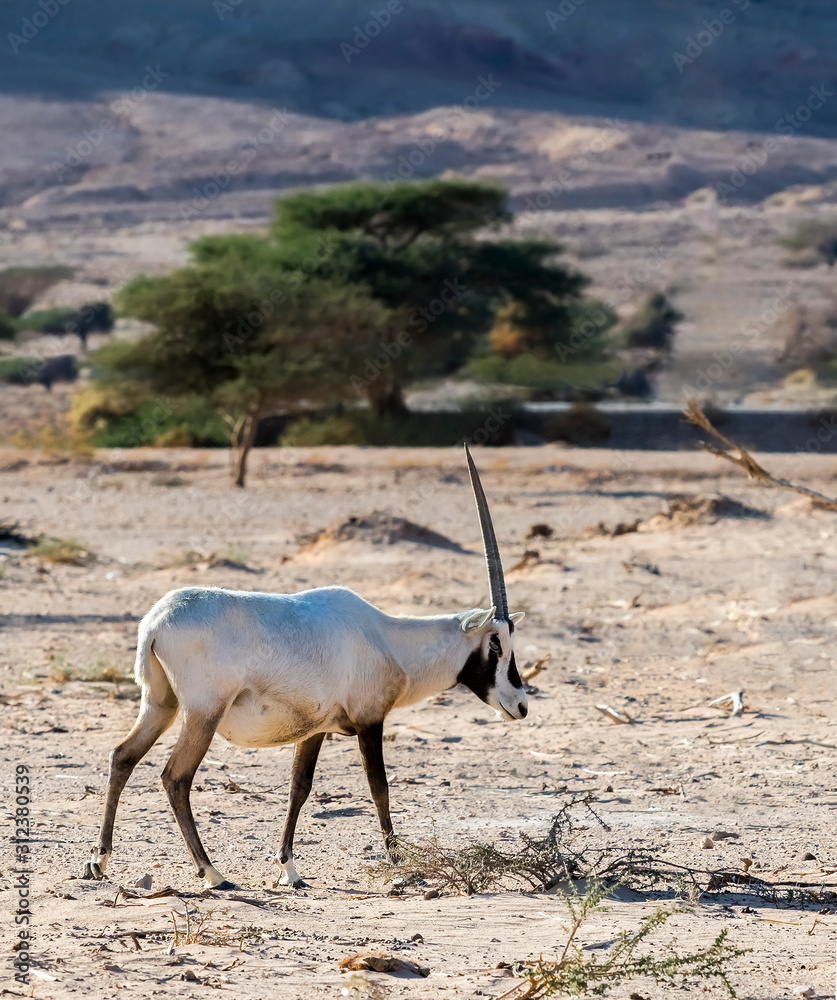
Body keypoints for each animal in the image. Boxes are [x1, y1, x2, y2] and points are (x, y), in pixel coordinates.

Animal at [84, 445, 526, 890]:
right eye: (496, 643)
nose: (521, 705)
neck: (388, 638)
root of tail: (155, 623)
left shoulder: (315, 729)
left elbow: (300, 787)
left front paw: (288, 868)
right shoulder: (369, 720)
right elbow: (379, 786)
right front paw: (399, 862)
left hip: (160, 705)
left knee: (123, 757)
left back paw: (100, 860)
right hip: (202, 713)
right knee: (175, 777)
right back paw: (212, 872)